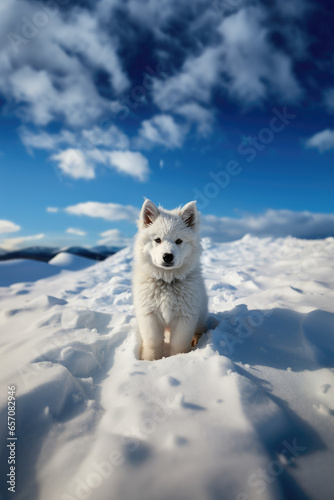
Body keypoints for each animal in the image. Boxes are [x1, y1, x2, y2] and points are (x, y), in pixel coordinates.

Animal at [132, 198, 206, 360]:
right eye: (157, 240)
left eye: (179, 241)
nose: (167, 256)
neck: (167, 281)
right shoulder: (149, 315)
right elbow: (153, 342)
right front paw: (150, 360)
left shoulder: (185, 317)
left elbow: (179, 345)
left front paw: (177, 359)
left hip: (201, 315)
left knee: (200, 330)